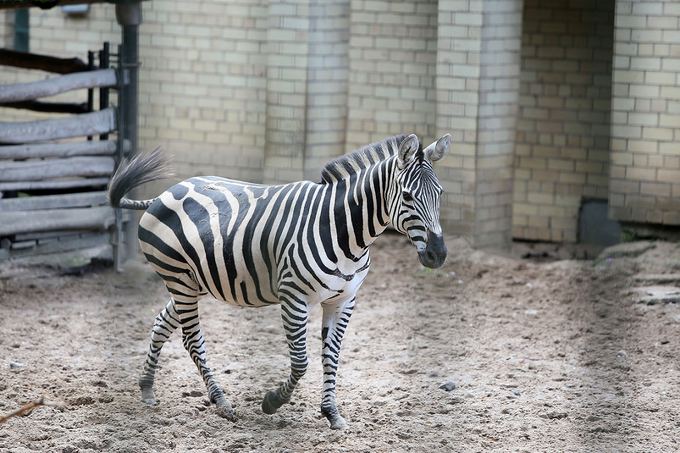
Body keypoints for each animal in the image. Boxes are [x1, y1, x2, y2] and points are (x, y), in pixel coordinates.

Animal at [109, 132, 452, 428]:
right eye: (407, 196)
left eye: (440, 194)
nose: (438, 254)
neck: (346, 232)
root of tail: (163, 194)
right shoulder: (293, 297)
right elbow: (301, 361)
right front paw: (272, 402)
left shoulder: (344, 300)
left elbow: (332, 356)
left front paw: (332, 413)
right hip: (179, 278)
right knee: (191, 339)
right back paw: (221, 402)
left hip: (196, 281)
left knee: (162, 322)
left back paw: (147, 387)